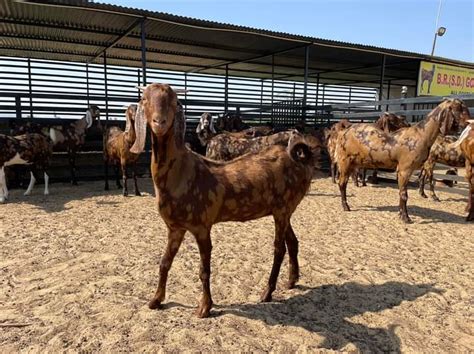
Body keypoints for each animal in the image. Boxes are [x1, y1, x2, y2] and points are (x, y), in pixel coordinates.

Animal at [129, 83, 318, 318]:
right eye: (145, 99)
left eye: (173, 101)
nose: (159, 122)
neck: (182, 173)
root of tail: (302, 158)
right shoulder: (175, 227)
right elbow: (164, 263)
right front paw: (155, 300)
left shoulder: (201, 226)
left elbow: (204, 270)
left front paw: (204, 307)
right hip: (282, 210)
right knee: (292, 242)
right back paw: (291, 281)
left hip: (283, 210)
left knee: (279, 249)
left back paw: (267, 292)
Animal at [336, 98, 472, 223]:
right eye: (459, 109)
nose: (468, 122)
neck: (420, 135)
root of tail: (346, 130)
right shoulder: (404, 170)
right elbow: (404, 194)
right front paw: (406, 218)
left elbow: (403, 193)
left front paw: (401, 214)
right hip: (345, 162)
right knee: (342, 183)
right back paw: (345, 206)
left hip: (353, 163)